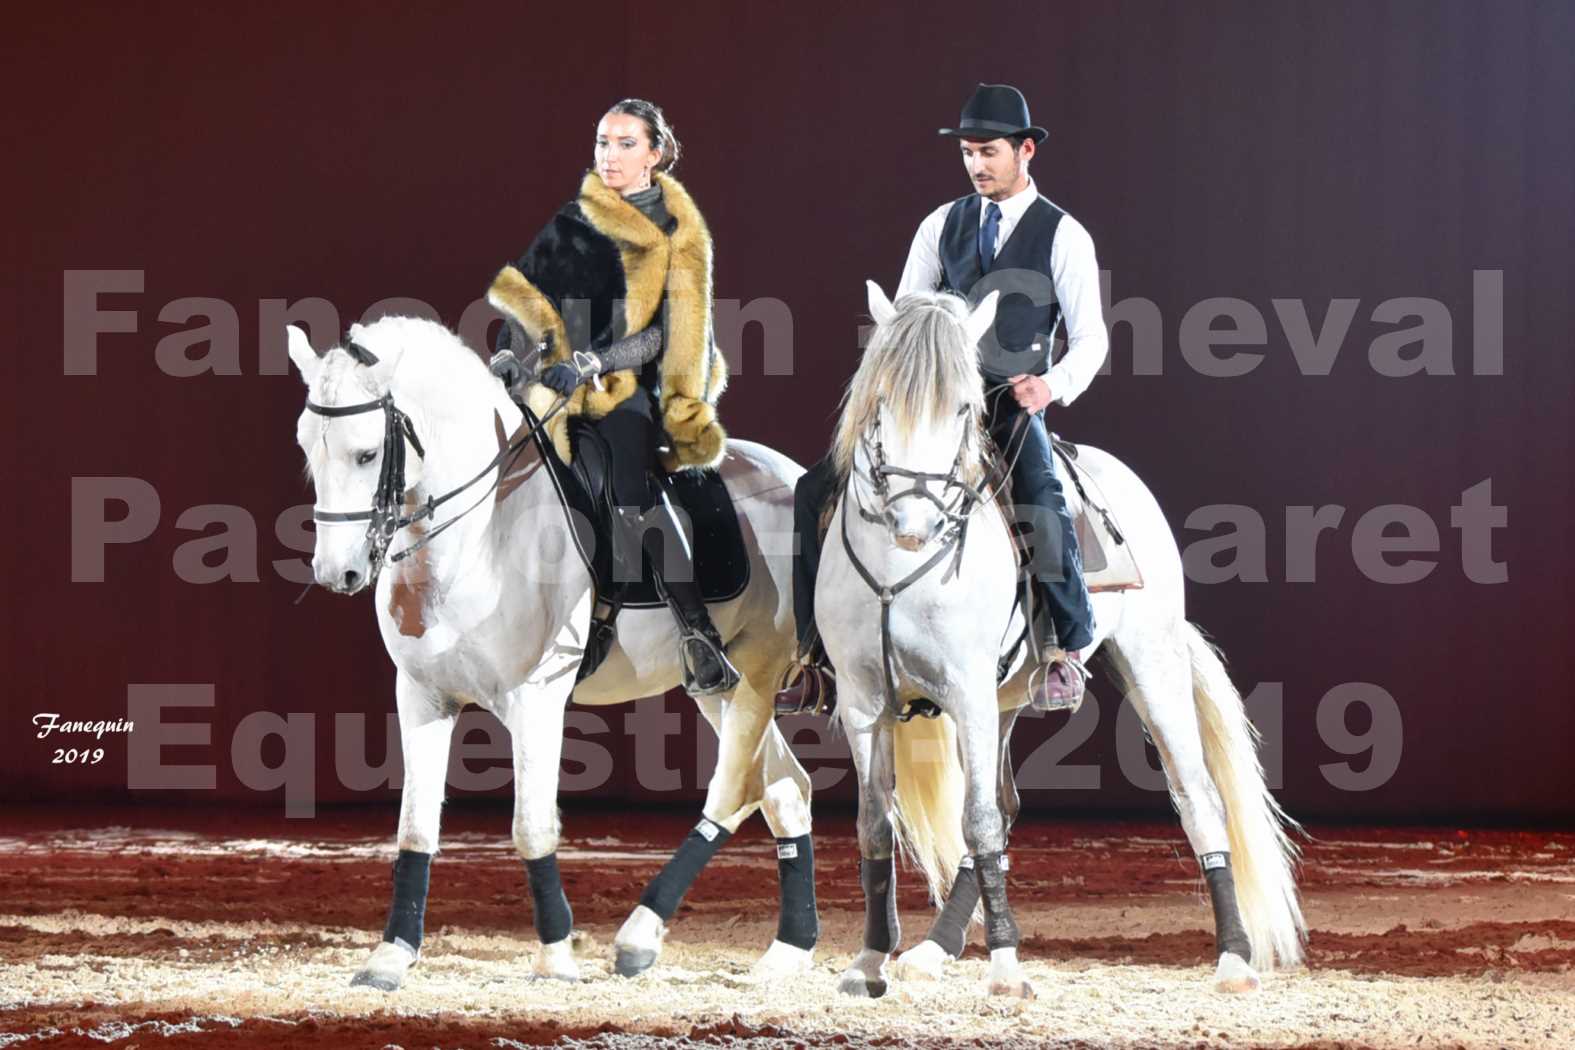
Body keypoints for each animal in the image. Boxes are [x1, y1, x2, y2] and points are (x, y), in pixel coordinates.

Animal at [288, 316, 819, 988]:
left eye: (366, 453)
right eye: (309, 449)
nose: (338, 573)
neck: (480, 533)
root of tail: (793, 476)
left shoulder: (536, 698)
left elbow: (532, 826)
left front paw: (557, 954)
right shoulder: (422, 696)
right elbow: (415, 825)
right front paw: (391, 955)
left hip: (755, 673)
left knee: (733, 793)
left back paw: (640, 936)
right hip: (720, 687)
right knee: (784, 789)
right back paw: (788, 950)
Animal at [819, 283, 1297, 1001]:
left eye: (962, 406)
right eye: (879, 402)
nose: (914, 521)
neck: (898, 570)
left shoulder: (965, 692)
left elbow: (977, 821)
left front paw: (1006, 970)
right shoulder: (863, 702)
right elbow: (878, 824)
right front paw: (870, 961)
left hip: (1148, 667)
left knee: (1197, 799)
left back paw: (1235, 960)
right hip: (1007, 699)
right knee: (1004, 805)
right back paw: (933, 950)